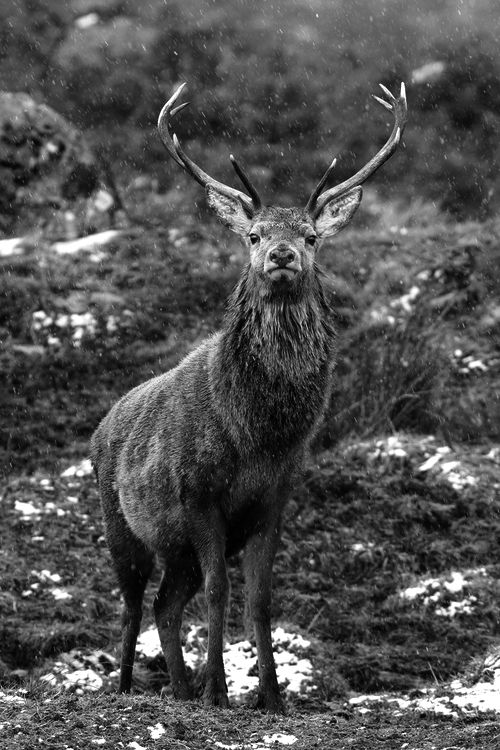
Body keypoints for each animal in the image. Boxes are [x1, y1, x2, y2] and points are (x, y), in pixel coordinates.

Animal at [90, 81, 407, 713]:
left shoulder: (274, 498)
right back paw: (130, 688)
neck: (257, 435)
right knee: (134, 605)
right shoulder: (198, 493)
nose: (282, 255)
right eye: (254, 235)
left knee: (165, 605)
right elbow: (220, 590)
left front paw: (271, 696)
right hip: (121, 526)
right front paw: (219, 690)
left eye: (311, 236)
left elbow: (259, 598)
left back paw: (179, 690)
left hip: (174, 548)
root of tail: (102, 424)